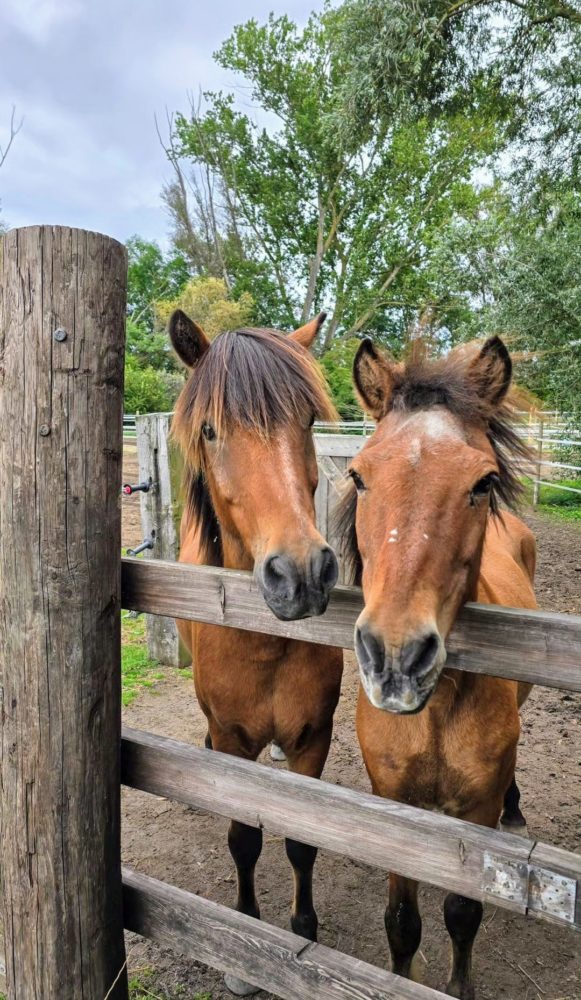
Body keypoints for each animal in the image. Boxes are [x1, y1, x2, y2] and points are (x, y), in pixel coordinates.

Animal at [167, 308, 344, 996]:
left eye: (308, 421)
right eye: (211, 428)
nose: (301, 573)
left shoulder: (313, 738)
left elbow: (301, 839)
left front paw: (303, 930)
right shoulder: (235, 737)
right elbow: (244, 837)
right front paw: (245, 941)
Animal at [336, 336, 536, 1000]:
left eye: (483, 481)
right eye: (358, 475)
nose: (396, 659)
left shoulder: (472, 814)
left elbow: (462, 913)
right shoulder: (392, 803)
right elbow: (403, 920)